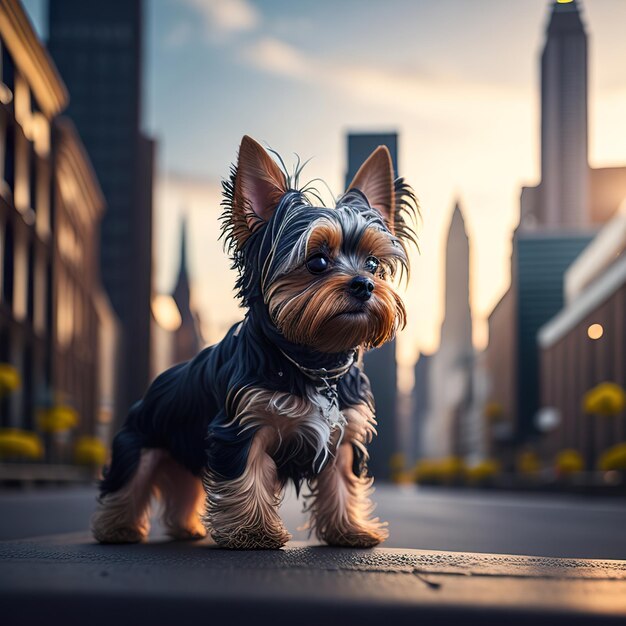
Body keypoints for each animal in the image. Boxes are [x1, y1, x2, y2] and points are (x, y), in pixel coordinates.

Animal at [92, 135, 414, 544]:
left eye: (372, 264)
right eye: (317, 262)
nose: (365, 285)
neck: (313, 358)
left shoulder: (344, 431)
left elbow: (343, 482)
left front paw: (349, 529)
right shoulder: (241, 426)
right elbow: (245, 478)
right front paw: (254, 533)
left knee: (185, 488)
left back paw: (186, 527)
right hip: (143, 438)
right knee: (128, 480)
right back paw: (118, 527)